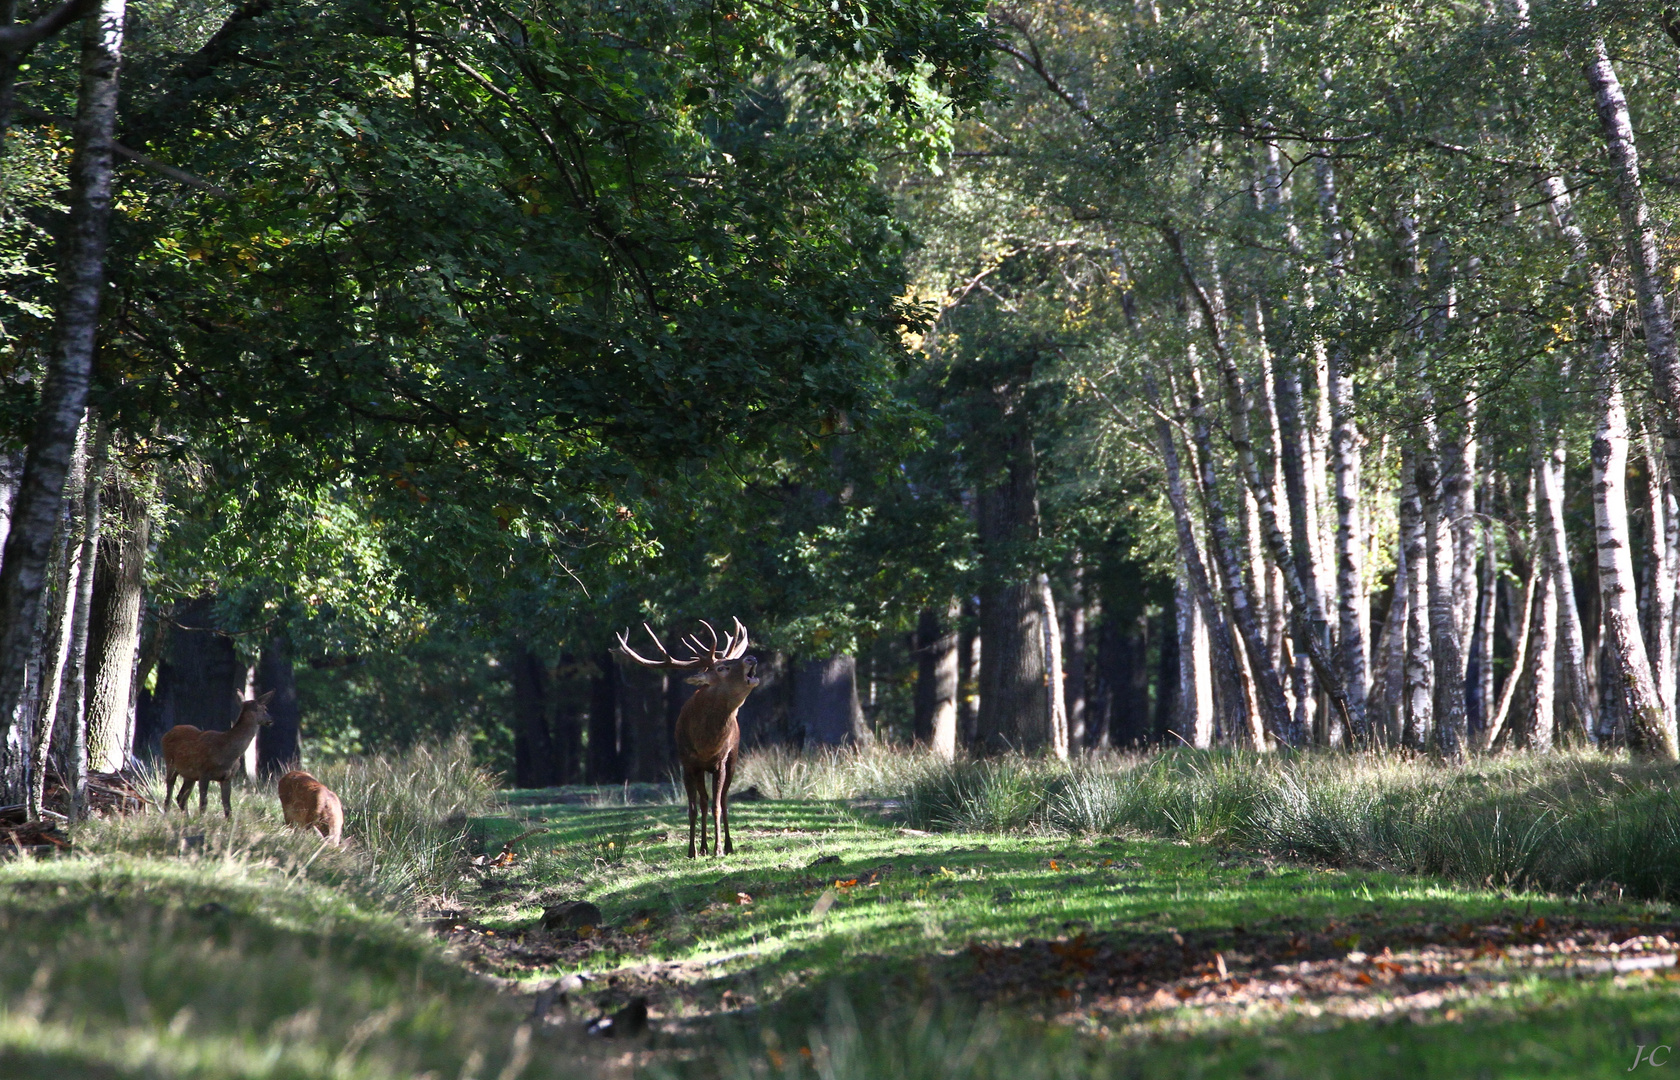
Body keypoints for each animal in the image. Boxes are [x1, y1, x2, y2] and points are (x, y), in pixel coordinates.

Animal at [621, 621, 759, 856]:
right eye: (722, 668)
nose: (751, 658)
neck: (705, 744)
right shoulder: (687, 762)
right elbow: (693, 808)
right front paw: (693, 850)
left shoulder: (720, 761)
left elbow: (716, 806)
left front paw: (718, 849)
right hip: (700, 768)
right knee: (703, 801)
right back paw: (703, 847)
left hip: (733, 757)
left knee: (723, 800)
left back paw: (728, 845)